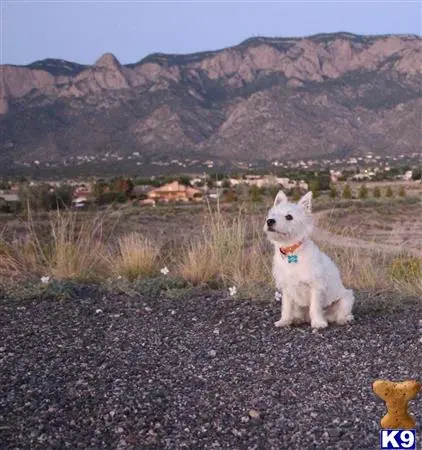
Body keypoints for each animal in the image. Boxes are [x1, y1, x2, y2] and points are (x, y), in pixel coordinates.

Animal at [266, 192, 354, 328]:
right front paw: (284, 321)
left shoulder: (316, 286)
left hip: (346, 298)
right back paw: (297, 319)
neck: (291, 251)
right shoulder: (286, 289)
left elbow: (314, 307)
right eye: (273, 214)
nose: (270, 221)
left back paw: (342, 320)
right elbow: (286, 308)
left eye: (289, 217)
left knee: (343, 314)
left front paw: (318, 323)